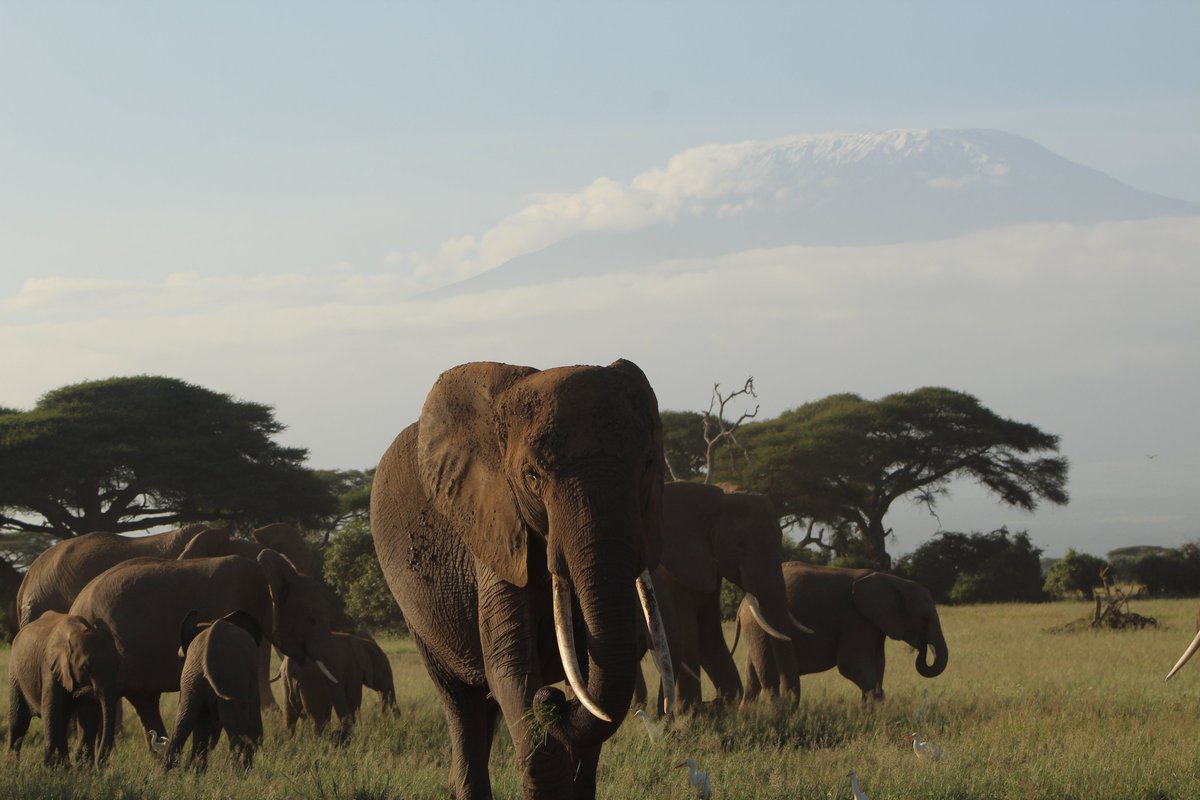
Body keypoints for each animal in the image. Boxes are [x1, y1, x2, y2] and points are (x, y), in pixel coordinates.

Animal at [7, 614, 121, 767]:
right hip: (15, 674)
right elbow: (53, 712)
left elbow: (88, 715)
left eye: (118, 665)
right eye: (86, 667)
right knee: (19, 721)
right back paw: (12, 766)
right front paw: (52, 768)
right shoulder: (50, 668)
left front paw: (83, 768)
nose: (101, 765)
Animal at [163, 609, 264, 772]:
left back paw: (168, 775)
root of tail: (207, 660)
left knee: (182, 724)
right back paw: (239, 774)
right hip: (230, 680)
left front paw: (197, 772)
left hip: (193, 681)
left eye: (180, 658)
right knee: (235, 732)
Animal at [372, 362, 676, 800]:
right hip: (417, 615)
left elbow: (594, 676)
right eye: (531, 476)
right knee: (461, 702)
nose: (553, 700)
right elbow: (512, 667)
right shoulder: (494, 529)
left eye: (649, 464)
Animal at [734, 561, 950, 705]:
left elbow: (878, 663)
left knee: (752, 682)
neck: (893, 581)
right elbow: (851, 664)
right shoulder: (854, 618)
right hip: (757, 627)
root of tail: (742, 605)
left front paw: (868, 711)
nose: (923, 648)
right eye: (924, 619)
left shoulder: (873, 623)